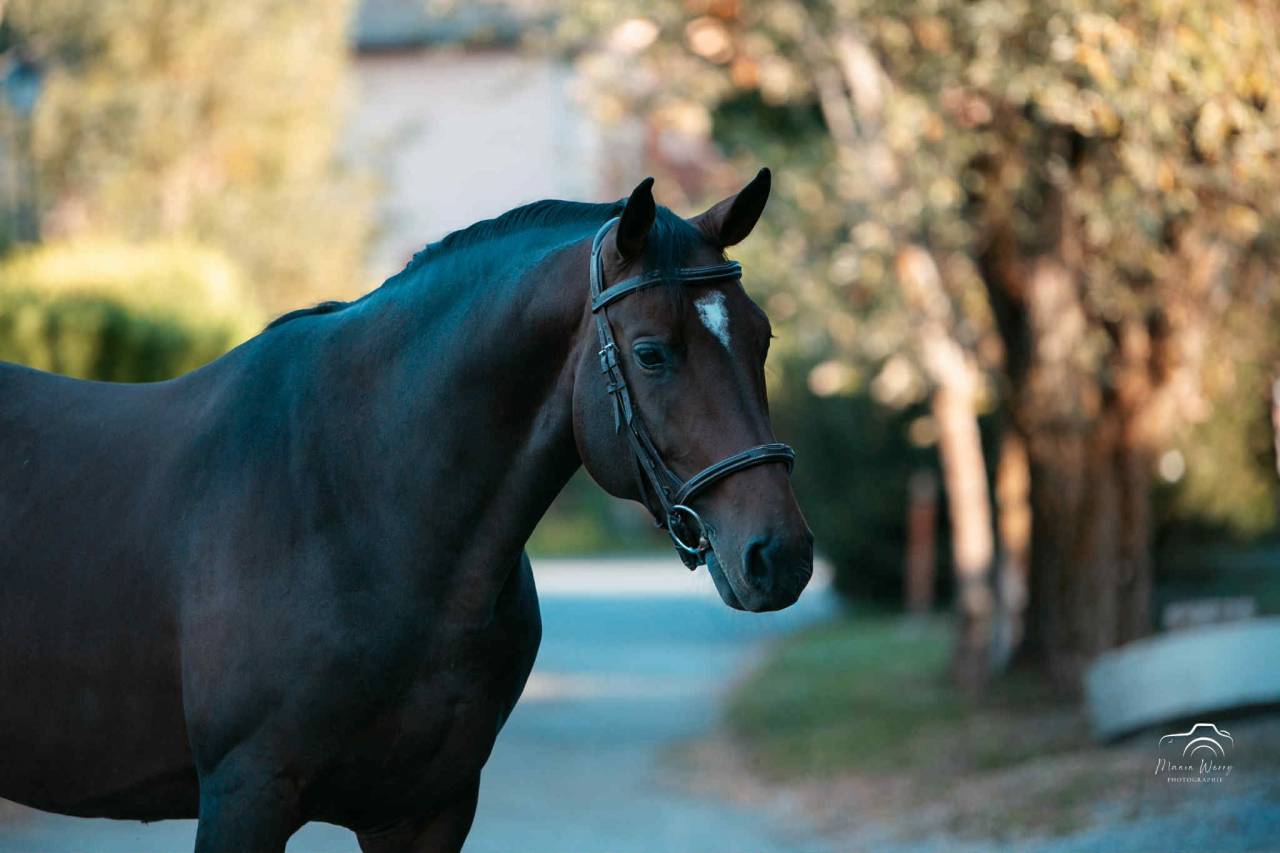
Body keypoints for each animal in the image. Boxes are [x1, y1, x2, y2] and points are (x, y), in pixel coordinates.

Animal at [0, 170, 813, 852]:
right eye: (650, 353)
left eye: (762, 335)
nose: (781, 555)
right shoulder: (245, 795)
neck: (359, 507)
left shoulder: (428, 809)